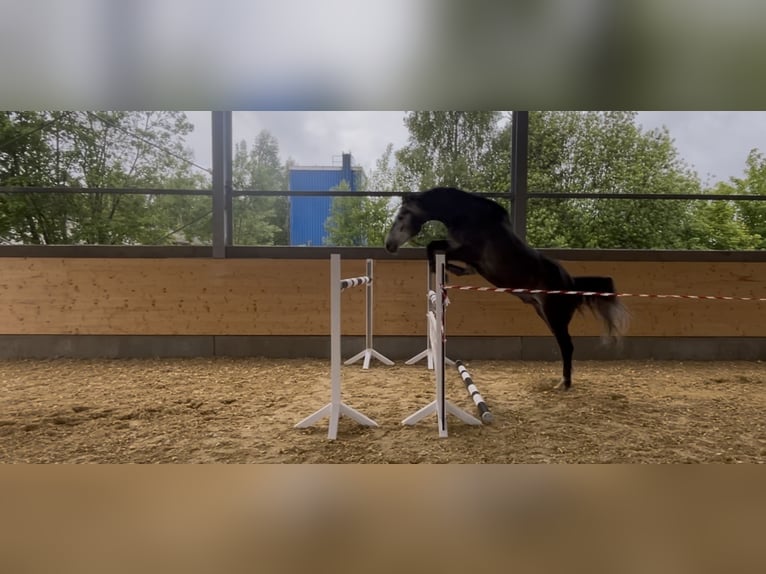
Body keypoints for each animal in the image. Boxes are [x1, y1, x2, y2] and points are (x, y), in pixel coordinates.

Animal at [384, 186, 629, 390]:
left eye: (402, 216)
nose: (389, 245)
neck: (466, 215)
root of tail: (571, 284)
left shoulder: (468, 251)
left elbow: (432, 247)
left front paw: (443, 273)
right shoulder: (465, 254)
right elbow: (441, 252)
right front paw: (448, 272)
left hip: (555, 317)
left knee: (567, 347)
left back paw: (564, 384)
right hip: (544, 314)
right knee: (564, 346)